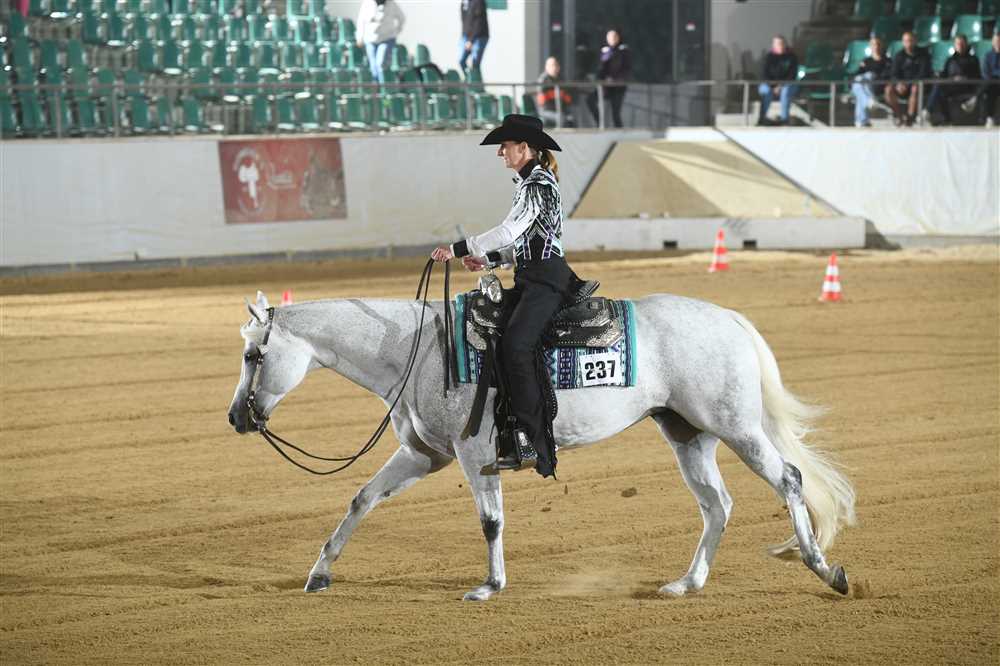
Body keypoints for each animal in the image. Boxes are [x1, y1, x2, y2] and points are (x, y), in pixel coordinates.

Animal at [227, 289, 856, 601]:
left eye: (254, 354)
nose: (236, 417)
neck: (417, 349)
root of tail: (729, 318)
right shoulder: (424, 455)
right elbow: (361, 499)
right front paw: (319, 574)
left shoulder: (474, 454)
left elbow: (490, 522)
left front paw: (489, 585)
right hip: (687, 434)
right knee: (717, 505)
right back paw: (687, 583)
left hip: (736, 427)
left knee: (789, 479)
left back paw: (825, 570)